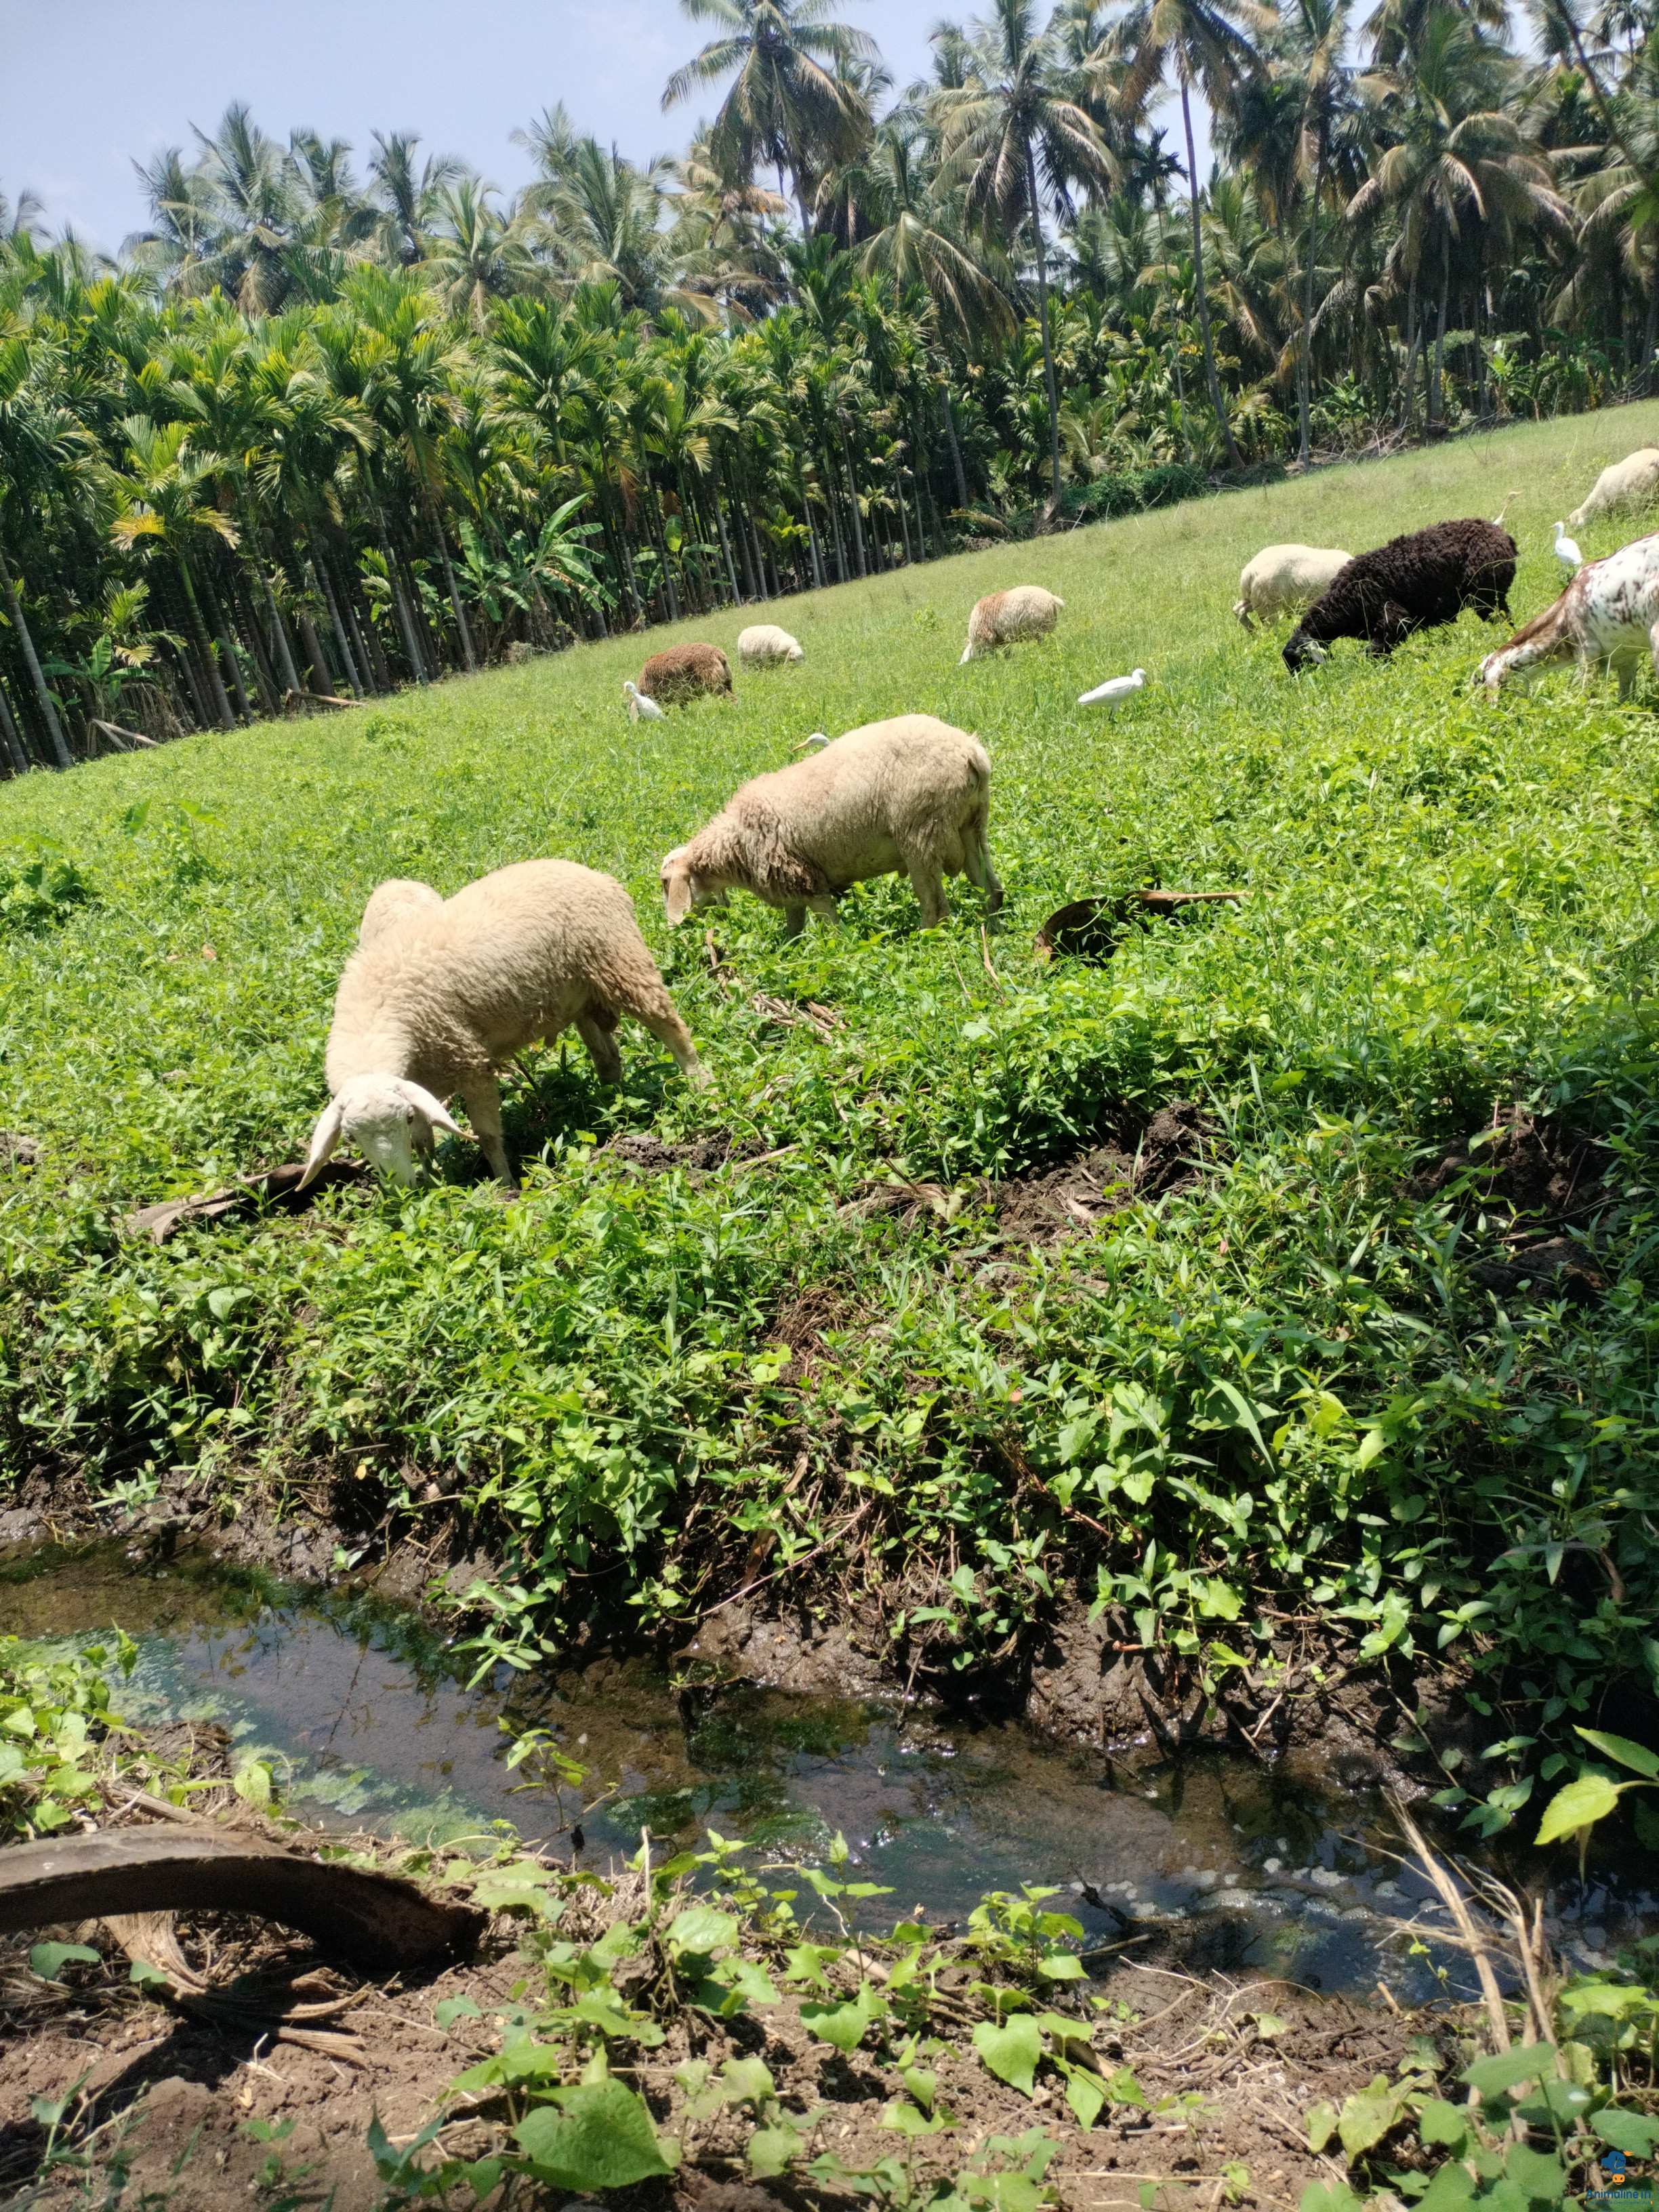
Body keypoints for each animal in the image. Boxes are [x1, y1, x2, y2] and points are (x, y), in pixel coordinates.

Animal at [299, 859, 704, 1194]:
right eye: (351, 1137)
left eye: (406, 1116)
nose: (400, 1187)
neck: (377, 1012)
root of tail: (595, 875)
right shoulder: (419, 1082)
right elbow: (423, 1144)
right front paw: (432, 1182)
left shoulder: (470, 1062)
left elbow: (488, 1136)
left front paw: (505, 1185)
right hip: (581, 995)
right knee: (608, 1057)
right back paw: (612, 1108)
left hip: (621, 962)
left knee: (674, 1030)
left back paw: (703, 1087)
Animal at [661, 713, 1002, 936]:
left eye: (665, 883)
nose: (672, 926)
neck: (735, 845)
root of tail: (970, 750)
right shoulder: (788, 889)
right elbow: (793, 933)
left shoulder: (804, 880)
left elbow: (833, 928)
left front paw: (840, 952)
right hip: (971, 826)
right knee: (992, 887)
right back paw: (994, 926)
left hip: (920, 834)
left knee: (936, 907)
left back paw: (923, 941)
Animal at [960, 585, 1064, 663]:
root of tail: (1051, 597)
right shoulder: (1002, 638)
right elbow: (1007, 651)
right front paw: (1008, 661)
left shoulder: (988, 639)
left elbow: (993, 655)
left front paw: (994, 664)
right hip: (1048, 626)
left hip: (1039, 627)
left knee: (1042, 644)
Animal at [1233, 544, 1353, 628]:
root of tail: (1248, 572)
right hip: (1268, 603)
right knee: (1270, 628)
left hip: (1255, 599)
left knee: (1239, 610)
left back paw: (1254, 632)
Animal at [1283, 519, 1516, 672]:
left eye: (1301, 661)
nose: (1305, 686)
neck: (1344, 600)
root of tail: (1502, 535)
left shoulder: (1394, 620)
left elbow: (1373, 652)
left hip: (1487, 596)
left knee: (1501, 619)